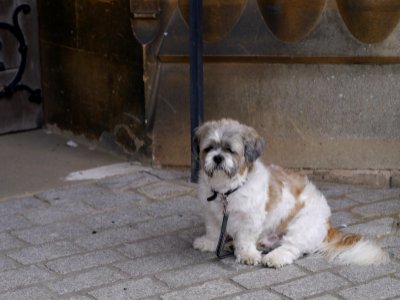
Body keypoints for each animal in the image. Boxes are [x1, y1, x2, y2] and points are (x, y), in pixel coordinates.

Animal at [192, 118, 390, 268]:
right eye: (208, 148)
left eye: (230, 150)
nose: (218, 157)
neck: (227, 191)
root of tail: (328, 224)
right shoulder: (211, 213)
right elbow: (213, 230)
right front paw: (209, 242)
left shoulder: (250, 218)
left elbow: (246, 238)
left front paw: (247, 254)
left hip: (302, 227)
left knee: (292, 247)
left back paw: (274, 257)